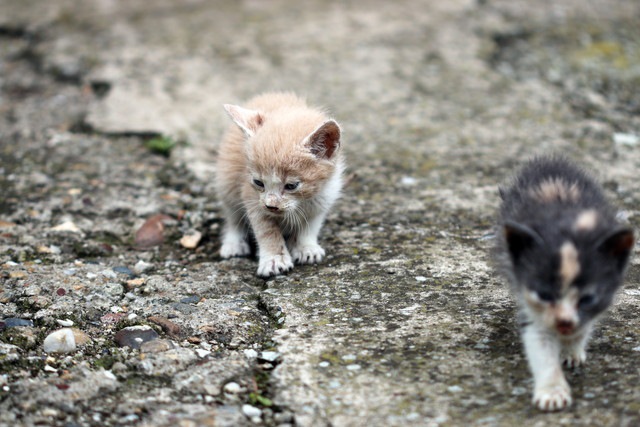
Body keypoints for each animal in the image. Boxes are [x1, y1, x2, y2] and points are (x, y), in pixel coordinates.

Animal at [215, 93, 344, 278]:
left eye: (291, 186)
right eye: (258, 182)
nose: (271, 206)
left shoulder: (324, 197)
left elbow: (310, 225)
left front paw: (306, 247)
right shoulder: (251, 197)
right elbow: (266, 231)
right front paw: (274, 259)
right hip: (226, 182)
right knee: (233, 216)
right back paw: (234, 244)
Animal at [496, 156, 636, 412]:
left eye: (587, 298)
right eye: (544, 295)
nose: (563, 323)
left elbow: (582, 328)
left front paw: (572, 349)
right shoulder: (529, 299)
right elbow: (540, 342)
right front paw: (552, 391)